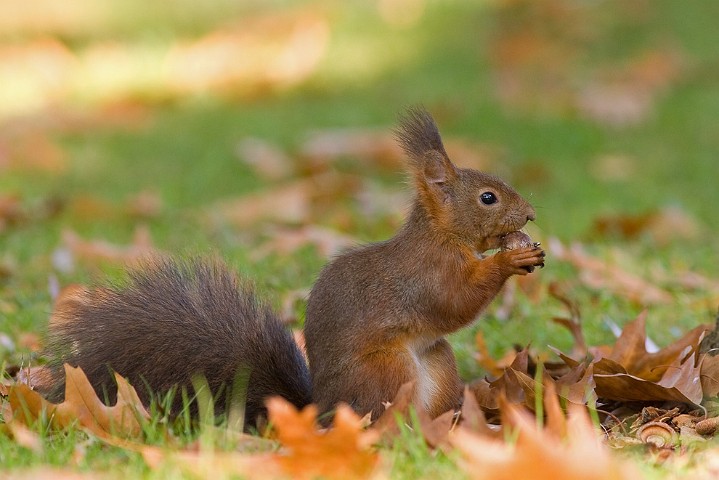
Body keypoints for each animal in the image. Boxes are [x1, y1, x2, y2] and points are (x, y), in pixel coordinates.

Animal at [42, 108, 544, 428]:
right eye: (488, 198)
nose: (531, 213)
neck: (442, 236)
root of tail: (320, 413)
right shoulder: (427, 274)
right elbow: (455, 301)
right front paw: (511, 259)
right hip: (387, 370)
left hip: (435, 361)